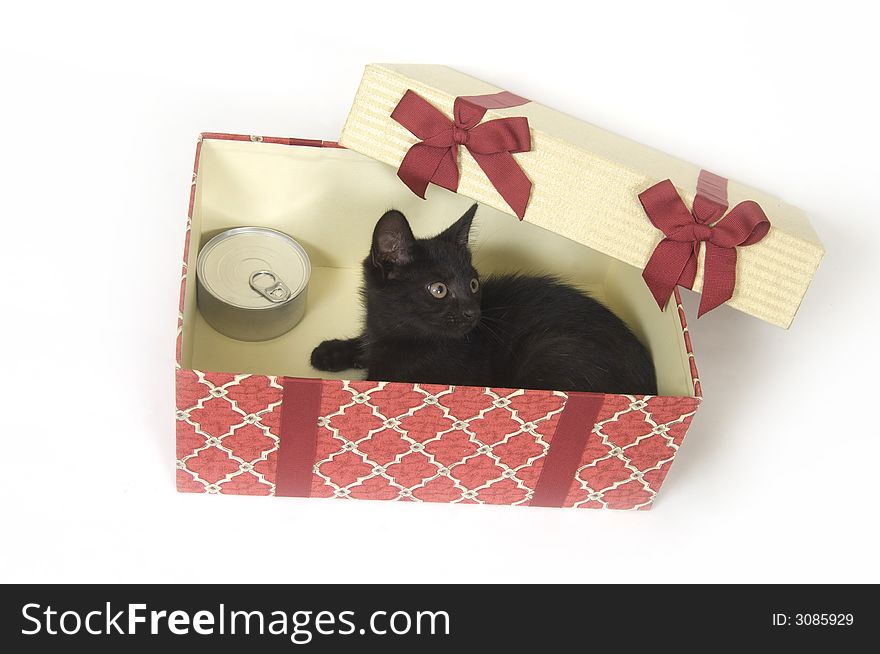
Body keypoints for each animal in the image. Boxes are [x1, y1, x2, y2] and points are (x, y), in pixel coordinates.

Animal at [310, 205, 652, 394]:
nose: (473, 313)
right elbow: (366, 342)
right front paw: (331, 352)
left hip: (553, 349)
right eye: (439, 289)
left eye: (473, 284)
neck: (404, 336)